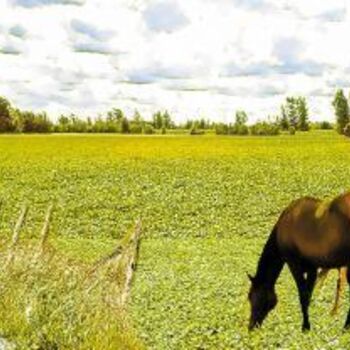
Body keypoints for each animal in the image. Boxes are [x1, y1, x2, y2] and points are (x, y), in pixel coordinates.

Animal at [247, 193, 350, 332]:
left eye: (252, 296)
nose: (251, 326)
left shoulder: (293, 264)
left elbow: (303, 295)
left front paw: (305, 326)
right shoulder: (312, 268)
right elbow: (308, 294)